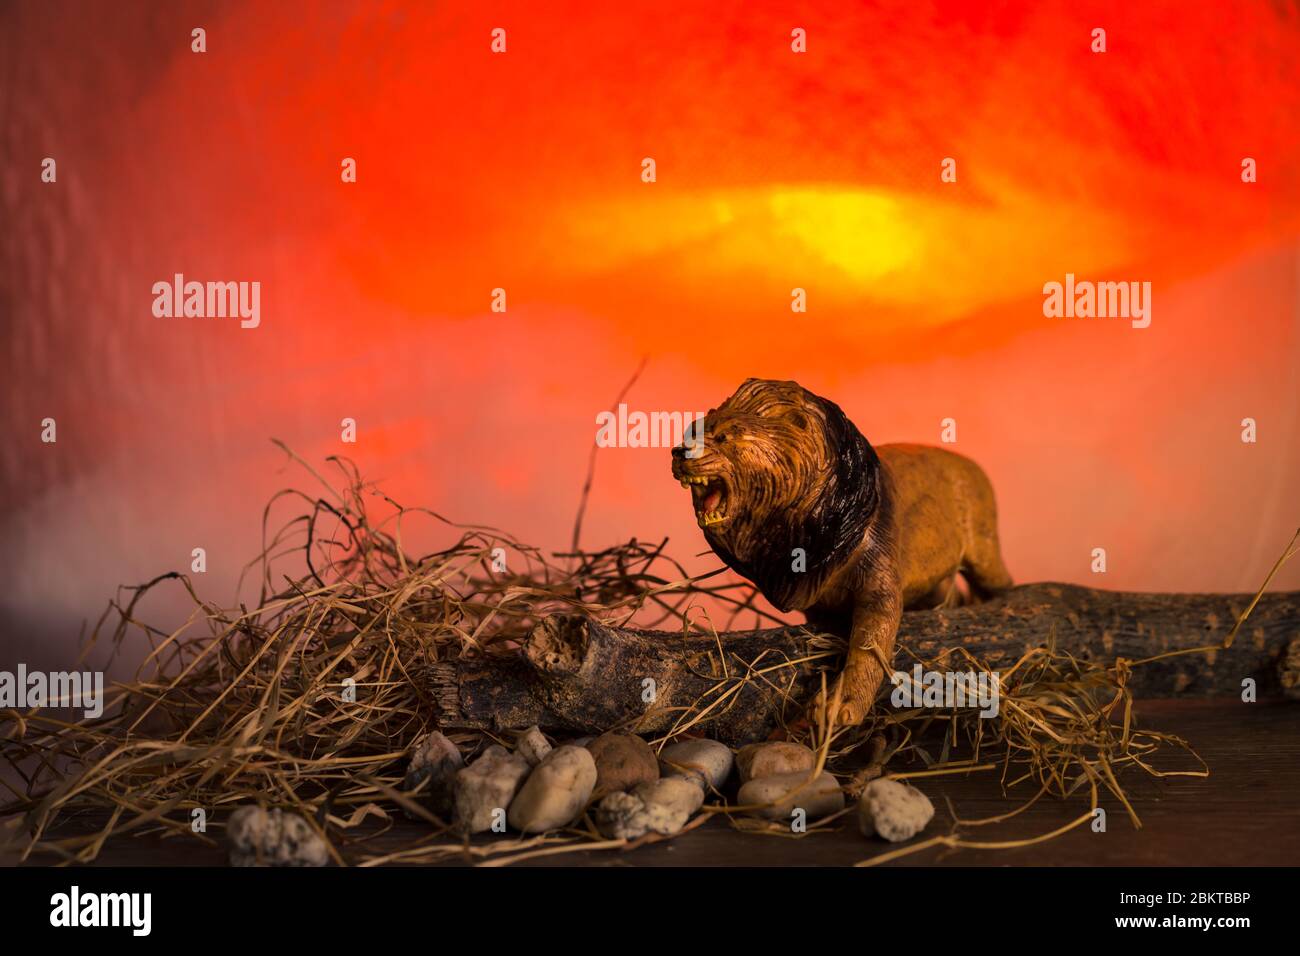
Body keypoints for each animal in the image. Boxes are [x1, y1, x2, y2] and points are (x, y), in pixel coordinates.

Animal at [671, 378, 1013, 728]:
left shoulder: (880, 580)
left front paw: (840, 704)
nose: (679, 451)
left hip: (985, 552)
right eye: (693, 430)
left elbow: (869, 646)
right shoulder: (816, 603)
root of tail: (971, 465)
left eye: (726, 436)